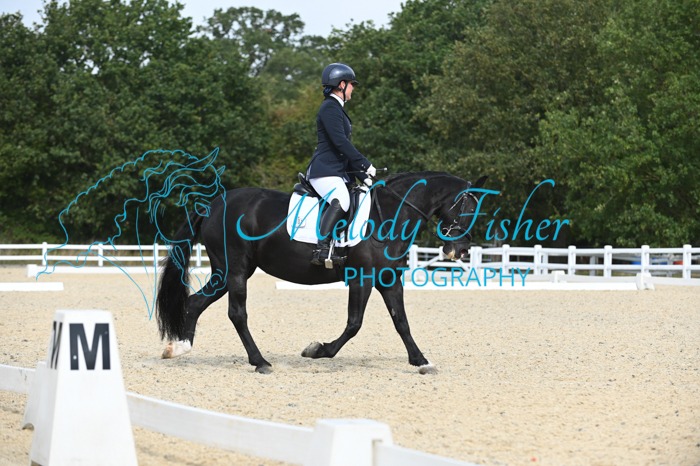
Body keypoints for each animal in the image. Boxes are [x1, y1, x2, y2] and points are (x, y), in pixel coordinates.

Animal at [156, 172, 486, 374]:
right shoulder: (363, 279)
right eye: (468, 208)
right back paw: (260, 361)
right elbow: (354, 324)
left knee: (196, 303)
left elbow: (401, 322)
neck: (389, 214)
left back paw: (180, 348)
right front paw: (317, 350)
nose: (460, 250)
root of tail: (213, 205)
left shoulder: (389, 279)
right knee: (237, 313)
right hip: (235, 270)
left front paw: (420, 361)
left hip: (228, 272)